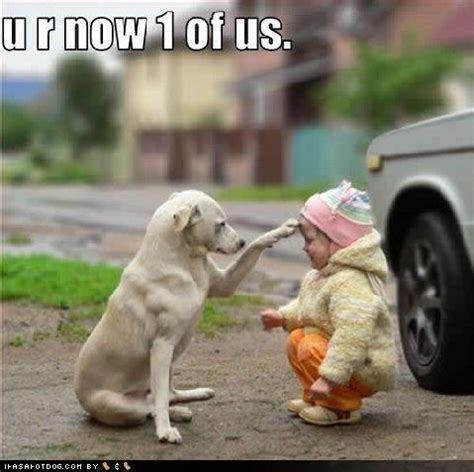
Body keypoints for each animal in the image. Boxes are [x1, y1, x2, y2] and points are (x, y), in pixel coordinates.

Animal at [74, 190, 296, 444]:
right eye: (221, 224)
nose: (240, 242)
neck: (183, 259)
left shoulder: (225, 284)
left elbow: (256, 245)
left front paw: (281, 230)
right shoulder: (162, 345)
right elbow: (159, 401)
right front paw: (164, 431)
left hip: (168, 366)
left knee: (167, 395)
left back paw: (189, 400)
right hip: (123, 402)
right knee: (150, 405)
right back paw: (171, 415)